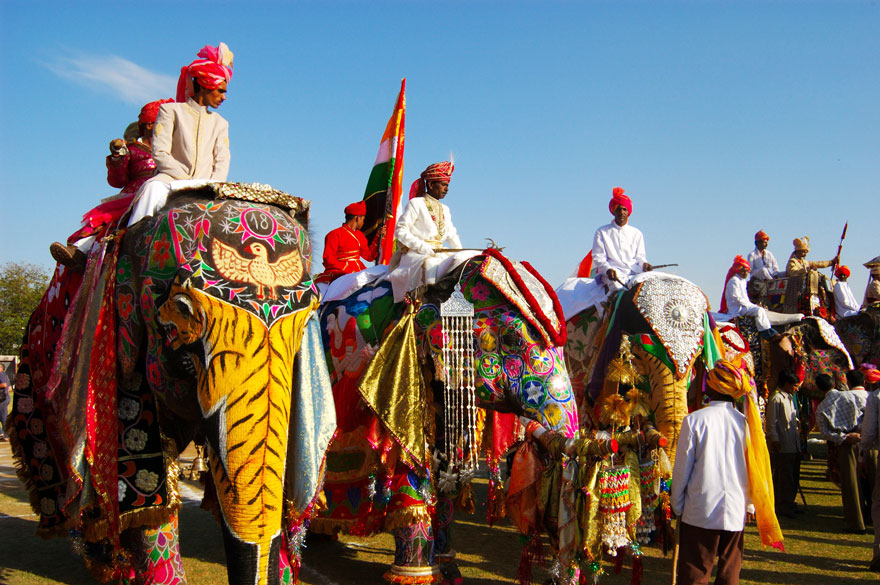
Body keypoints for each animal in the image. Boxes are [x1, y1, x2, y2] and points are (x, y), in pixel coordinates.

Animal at [310, 250, 576, 584]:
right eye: (513, 340)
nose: (553, 576)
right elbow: (414, 465)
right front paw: (416, 575)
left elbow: (446, 473)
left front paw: (449, 569)